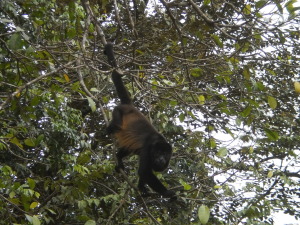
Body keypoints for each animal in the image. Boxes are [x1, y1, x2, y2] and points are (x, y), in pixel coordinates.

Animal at [105, 43, 176, 198]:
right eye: (158, 153)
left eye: (165, 154)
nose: (161, 159)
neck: (157, 143)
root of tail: (129, 105)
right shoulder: (148, 147)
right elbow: (145, 172)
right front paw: (169, 193)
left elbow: (144, 173)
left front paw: (142, 188)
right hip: (118, 111)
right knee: (117, 125)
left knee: (129, 147)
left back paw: (119, 158)